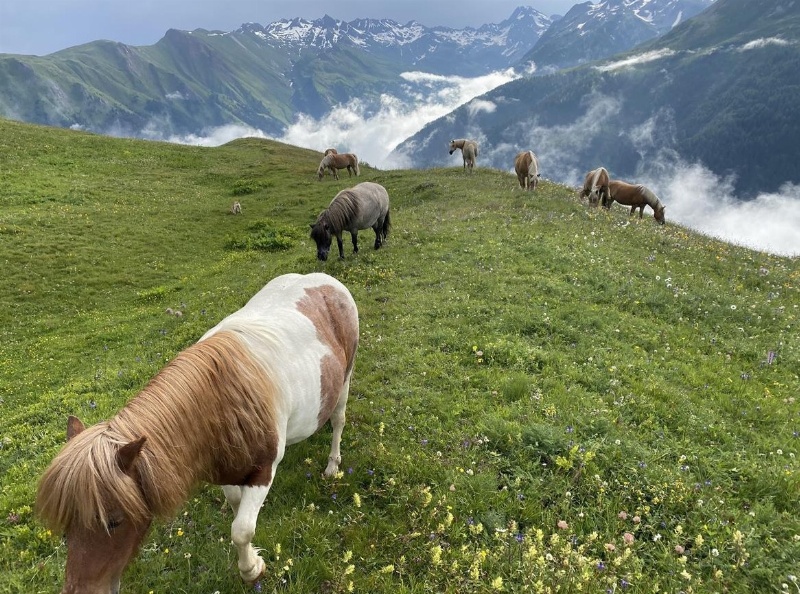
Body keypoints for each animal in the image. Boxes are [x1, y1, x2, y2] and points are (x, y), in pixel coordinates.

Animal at [36, 273, 359, 593]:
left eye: (114, 522)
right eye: (67, 525)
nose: (80, 591)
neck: (219, 402)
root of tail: (327, 280)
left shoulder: (263, 470)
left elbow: (241, 530)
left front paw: (252, 569)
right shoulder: (227, 471)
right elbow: (237, 508)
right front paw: (252, 554)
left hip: (345, 379)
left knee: (338, 420)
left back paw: (332, 465)